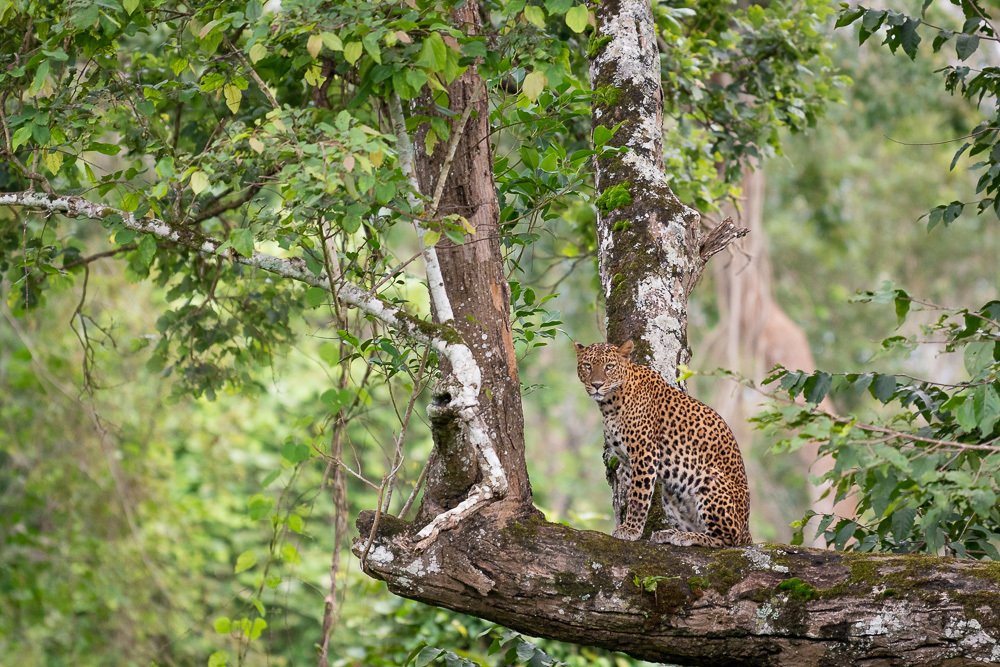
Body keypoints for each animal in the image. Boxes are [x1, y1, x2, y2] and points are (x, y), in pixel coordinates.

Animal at [574, 340, 752, 547]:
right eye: (587, 366)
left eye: (609, 367)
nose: (596, 385)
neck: (610, 404)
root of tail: (747, 528)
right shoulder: (626, 460)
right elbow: (631, 492)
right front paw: (630, 524)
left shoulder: (644, 451)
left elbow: (638, 496)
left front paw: (631, 529)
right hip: (672, 493)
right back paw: (670, 533)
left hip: (711, 481)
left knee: (727, 539)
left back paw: (688, 537)